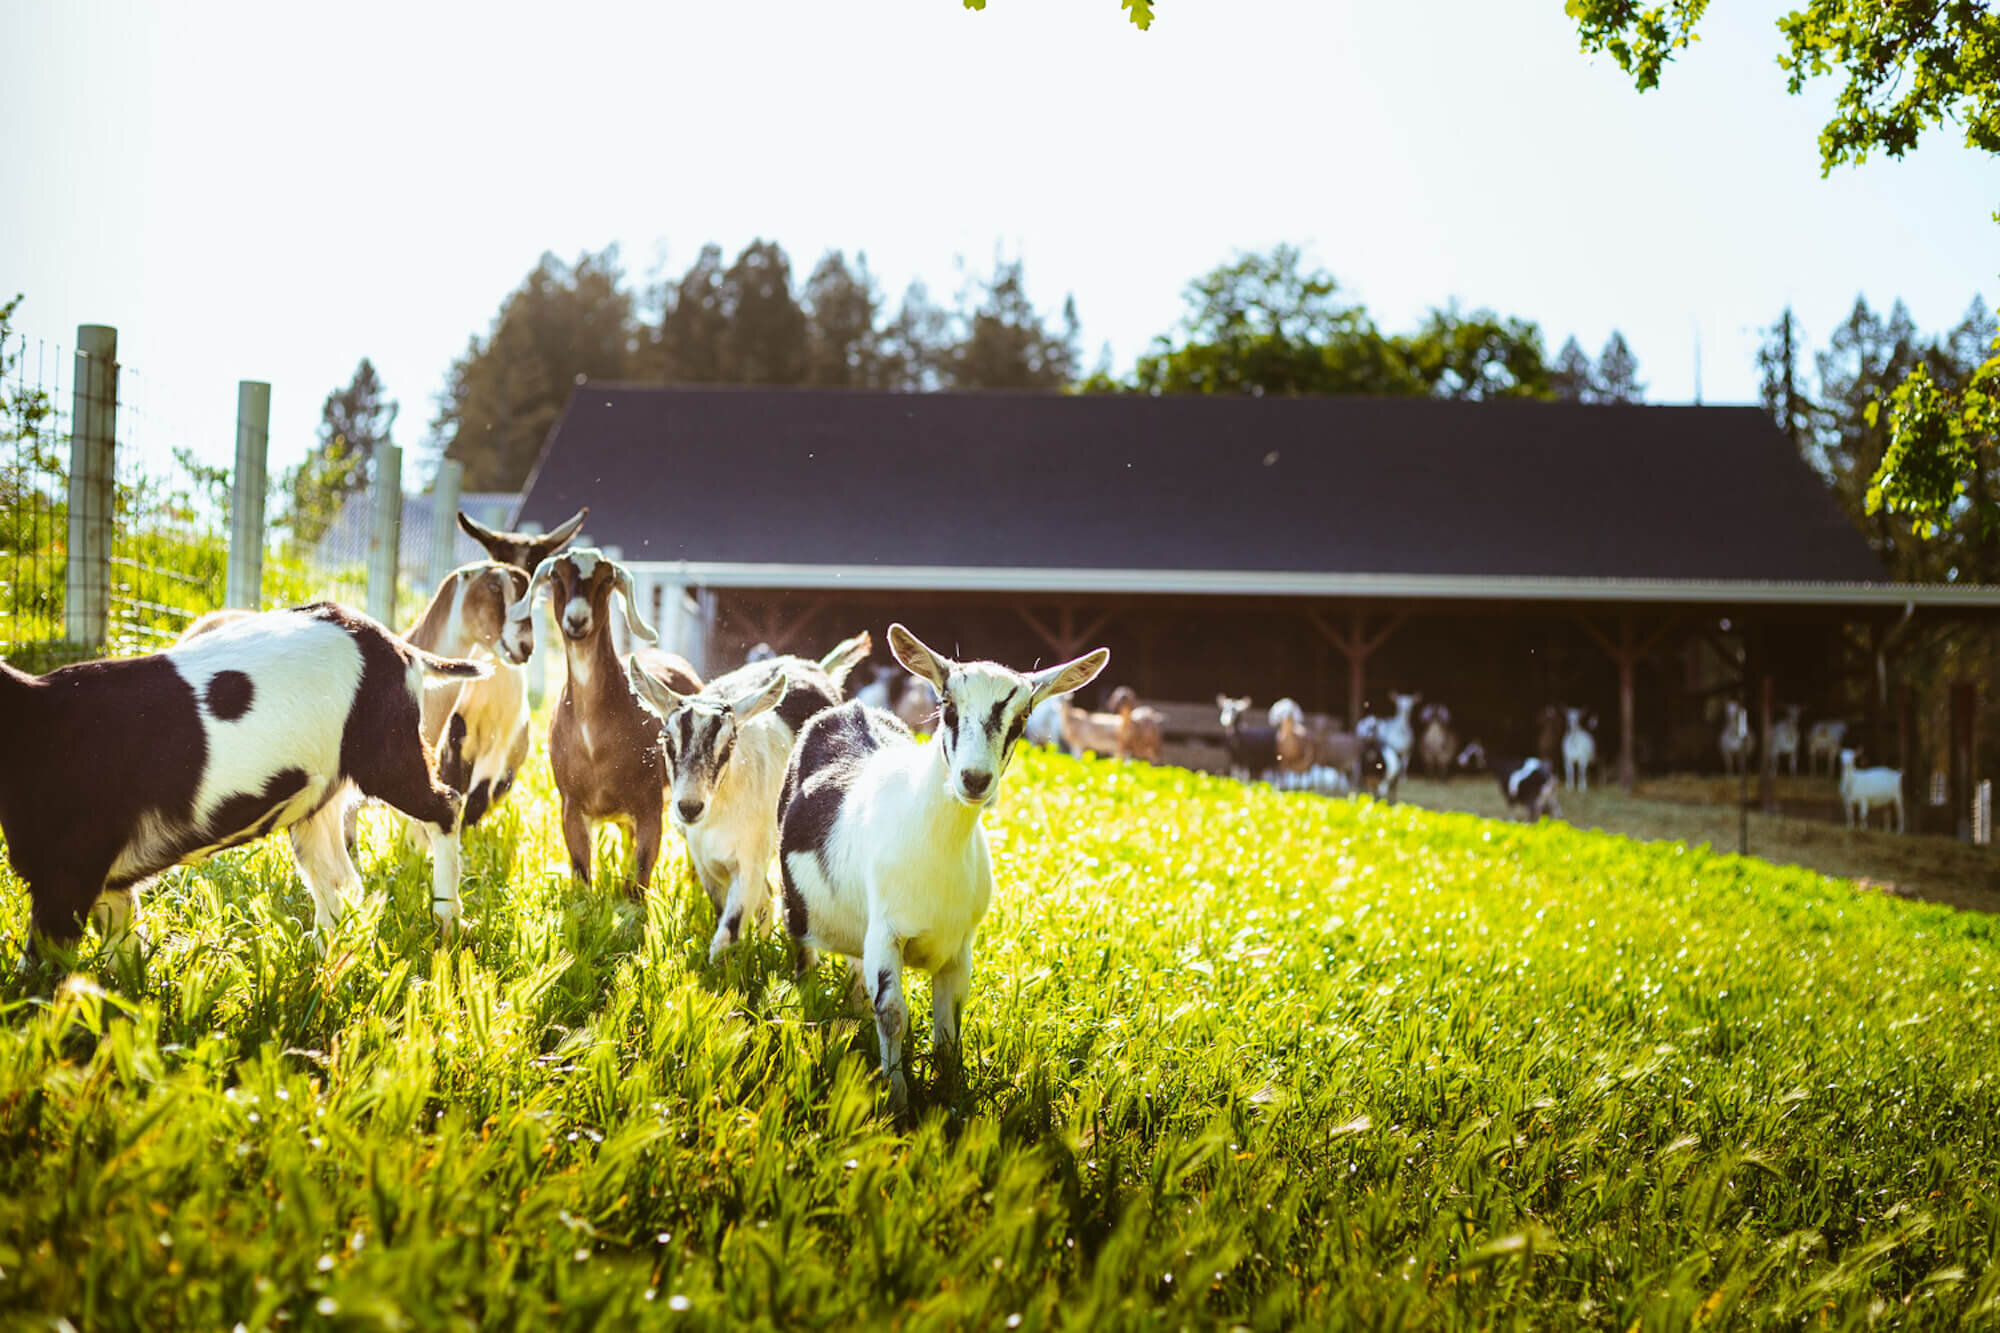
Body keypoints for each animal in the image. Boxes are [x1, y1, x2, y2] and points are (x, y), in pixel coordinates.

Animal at [512, 544, 700, 888]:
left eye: (607, 579)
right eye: (556, 575)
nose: (577, 620)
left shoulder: (649, 805)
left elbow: (640, 877)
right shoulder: (571, 805)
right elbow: (582, 873)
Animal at [628, 628, 872, 960]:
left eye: (730, 743)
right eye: (667, 739)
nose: (690, 807)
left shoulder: (749, 862)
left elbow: (727, 934)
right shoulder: (706, 864)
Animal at [772, 628, 1112, 1104]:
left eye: (1021, 718)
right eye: (949, 706)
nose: (975, 779)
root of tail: (850, 708)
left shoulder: (959, 946)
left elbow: (949, 1031)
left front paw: (950, 1097)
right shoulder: (886, 932)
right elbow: (893, 1013)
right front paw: (897, 1101)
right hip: (798, 909)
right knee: (806, 958)